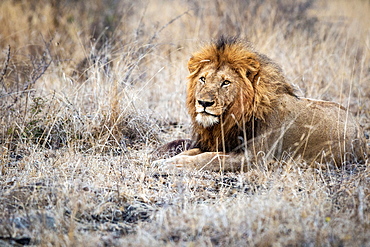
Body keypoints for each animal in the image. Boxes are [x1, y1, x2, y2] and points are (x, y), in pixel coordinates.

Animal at [153, 37, 368, 172]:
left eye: (226, 82)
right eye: (203, 79)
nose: (204, 103)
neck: (231, 118)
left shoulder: (253, 158)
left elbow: (210, 158)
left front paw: (172, 165)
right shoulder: (220, 143)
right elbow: (194, 152)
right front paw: (166, 160)